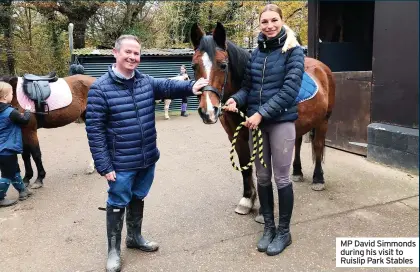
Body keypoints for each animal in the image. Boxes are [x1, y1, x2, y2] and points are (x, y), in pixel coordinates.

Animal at [192, 22, 336, 220]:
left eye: (223, 65)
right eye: (193, 66)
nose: (208, 112)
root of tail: (322, 68)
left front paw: (263, 209)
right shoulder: (236, 137)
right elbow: (246, 167)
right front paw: (247, 200)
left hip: (323, 121)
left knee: (319, 146)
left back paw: (318, 179)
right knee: (298, 143)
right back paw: (297, 172)